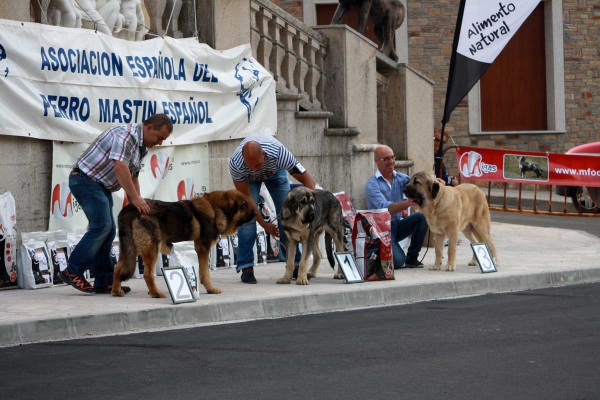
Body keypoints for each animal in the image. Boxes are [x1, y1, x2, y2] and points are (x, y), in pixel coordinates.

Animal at [111, 188, 254, 296]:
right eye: (244, 205)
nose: (255, 213)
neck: (215, 208)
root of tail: (130, 209)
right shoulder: (203, 249)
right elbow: (205, 273)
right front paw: (211, 289)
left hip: (129, 248)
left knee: (117, 268)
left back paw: (116, 290)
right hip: (152, 248)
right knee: (147, 274)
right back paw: (156, 293)